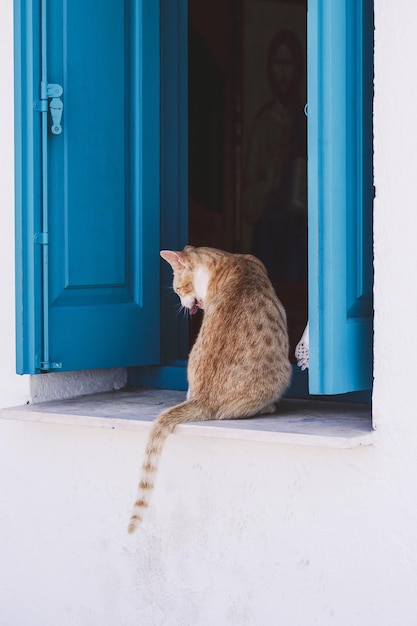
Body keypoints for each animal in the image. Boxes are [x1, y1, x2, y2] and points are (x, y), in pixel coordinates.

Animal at [127, 245, 290, 532]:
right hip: (283, 374)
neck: (229, 260)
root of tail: (202, 399)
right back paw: (269, 407)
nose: (182, 304)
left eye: (178, 289)